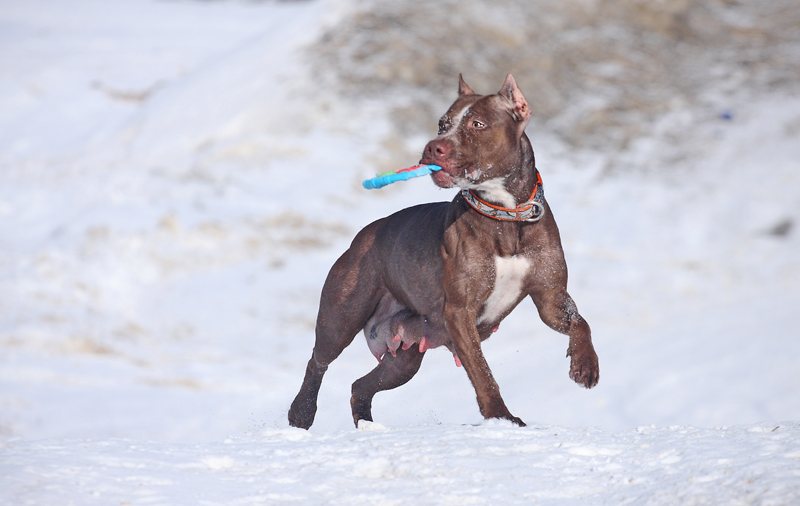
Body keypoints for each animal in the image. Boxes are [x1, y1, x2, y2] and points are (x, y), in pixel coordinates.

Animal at [290, 73, 596, 426]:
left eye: (477, 123)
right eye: (442, 124)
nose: (432, 147)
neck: (505, 216)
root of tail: (362, 235)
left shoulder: (549, 297)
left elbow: (579, 321)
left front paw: (585, 365)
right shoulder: (460, 313)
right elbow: (482, 372)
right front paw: (501, 417)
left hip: (404, 357)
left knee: (361, 386)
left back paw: (367, 426)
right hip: (341, 316)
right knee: (318, 361)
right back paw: (301, 413)